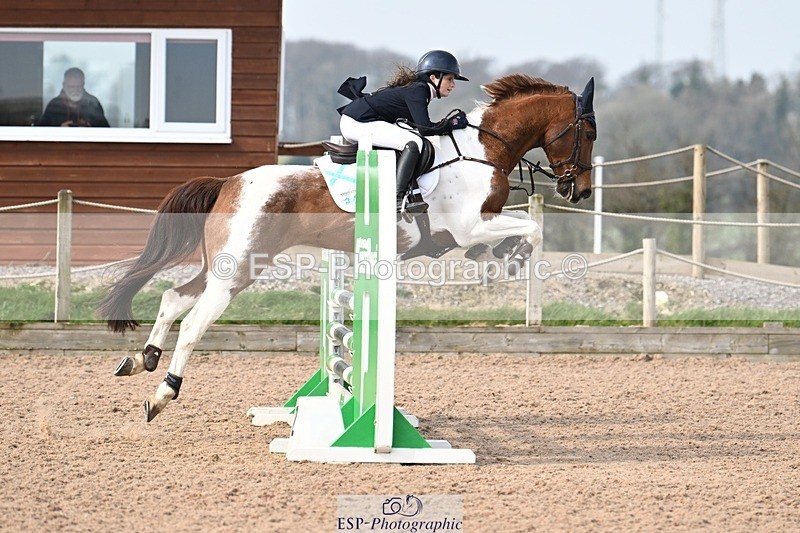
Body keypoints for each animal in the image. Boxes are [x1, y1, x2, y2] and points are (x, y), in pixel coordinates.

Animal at [99, 74, 598, 421]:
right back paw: (162, 394)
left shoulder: (476, 225)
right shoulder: (469, 226)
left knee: (172, 297)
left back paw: (142, 360)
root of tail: (229, 182)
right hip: (238, 271)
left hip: (223, 265)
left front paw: (501, 256)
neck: (482, 152)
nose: (580, 192)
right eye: (588, 133)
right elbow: (530, 227)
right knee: (193, 323)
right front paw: (510, 258)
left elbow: (522, 226)